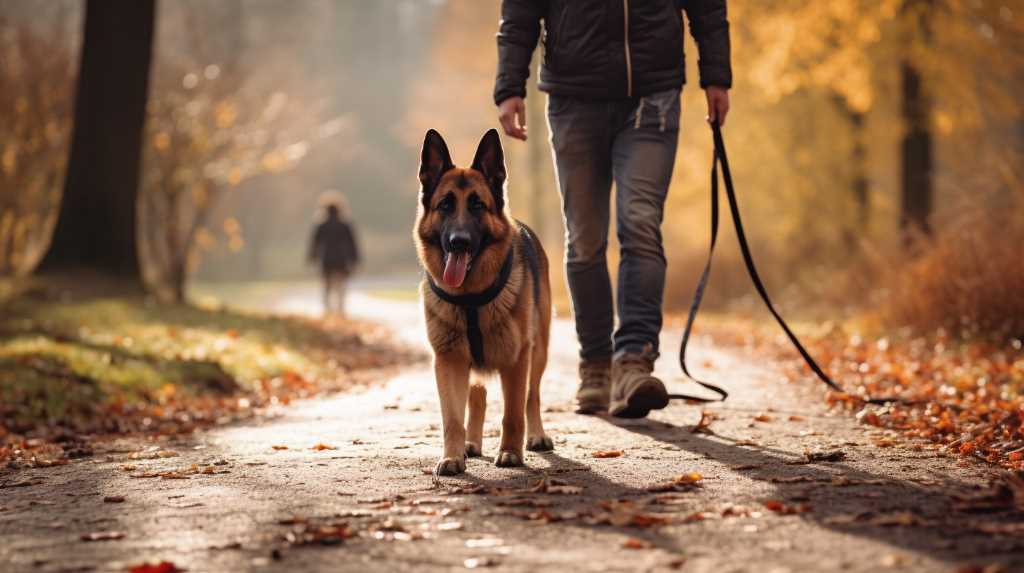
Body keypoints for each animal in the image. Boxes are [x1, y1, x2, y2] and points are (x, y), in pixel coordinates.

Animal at [413, 128, 552, 474]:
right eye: (445, 205)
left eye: (478, 205)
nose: (459, 242)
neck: (470, 299)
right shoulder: (449, 361)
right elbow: (452, 418)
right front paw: (452, 456)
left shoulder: (517, 359)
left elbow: (513, 412)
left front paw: (511, 453)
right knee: (477, 399)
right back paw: (471, 444)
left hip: (538, 352)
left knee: (532, 396)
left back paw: (537, 436)